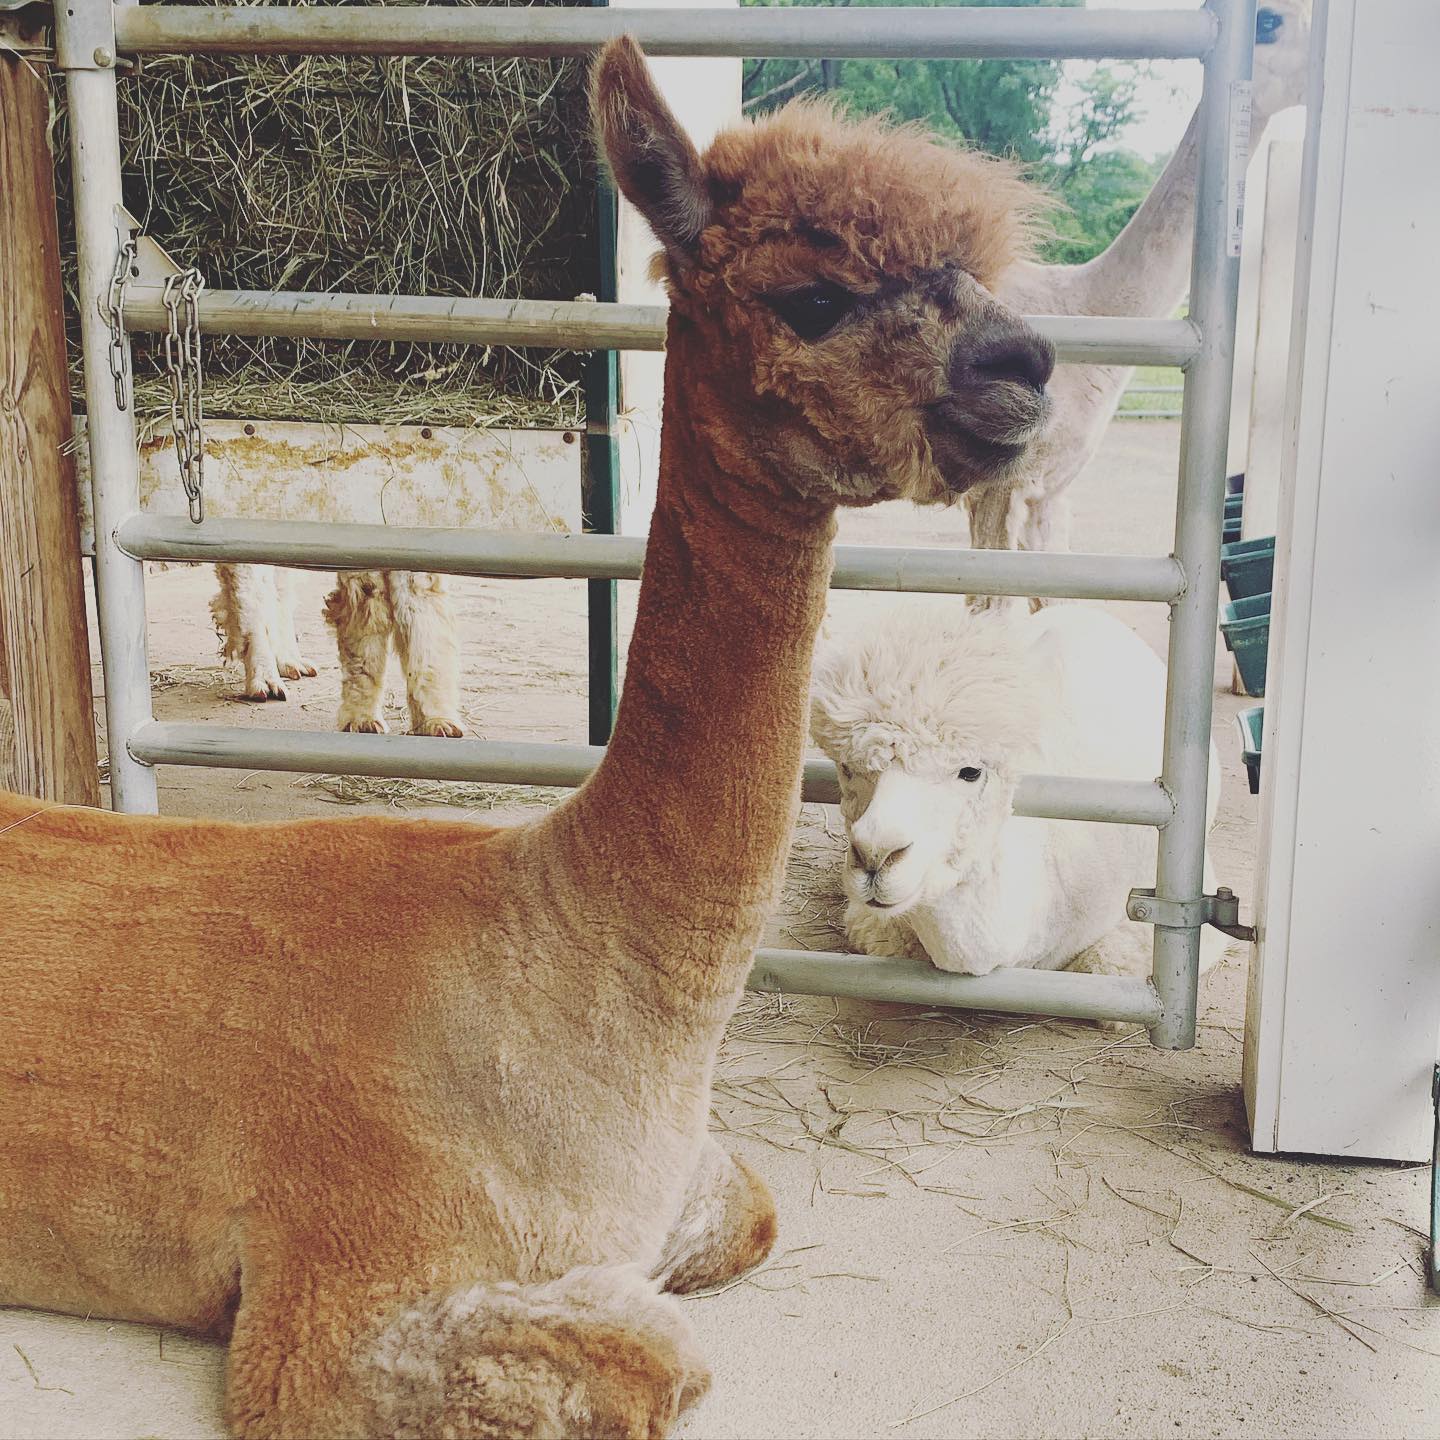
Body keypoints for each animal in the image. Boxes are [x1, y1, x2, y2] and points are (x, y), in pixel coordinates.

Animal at [0, 39, 1053, 1439]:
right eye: (816, 295)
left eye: (981, 277)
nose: (1029, 362)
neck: (569, 973)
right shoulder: (335, 1296)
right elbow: (660, 1362)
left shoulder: (686, 1190)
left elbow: (754, 1217)